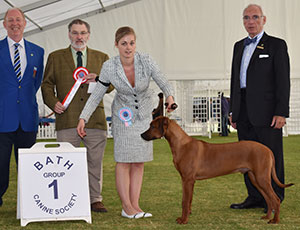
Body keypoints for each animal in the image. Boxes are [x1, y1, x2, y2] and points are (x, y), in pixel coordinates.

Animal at [141, 116, 292, 224]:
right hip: (255, 178)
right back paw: (267, 216)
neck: (181, 144)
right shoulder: (189, 181)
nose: (141, 135)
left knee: (275, 199)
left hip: (262, 177)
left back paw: (274, 220)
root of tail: (267, 149)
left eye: (152, 126)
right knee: (268, 198)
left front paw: (183, 220)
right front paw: (188, 214)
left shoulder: (187, 179)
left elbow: (184, 201)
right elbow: (188, 200)